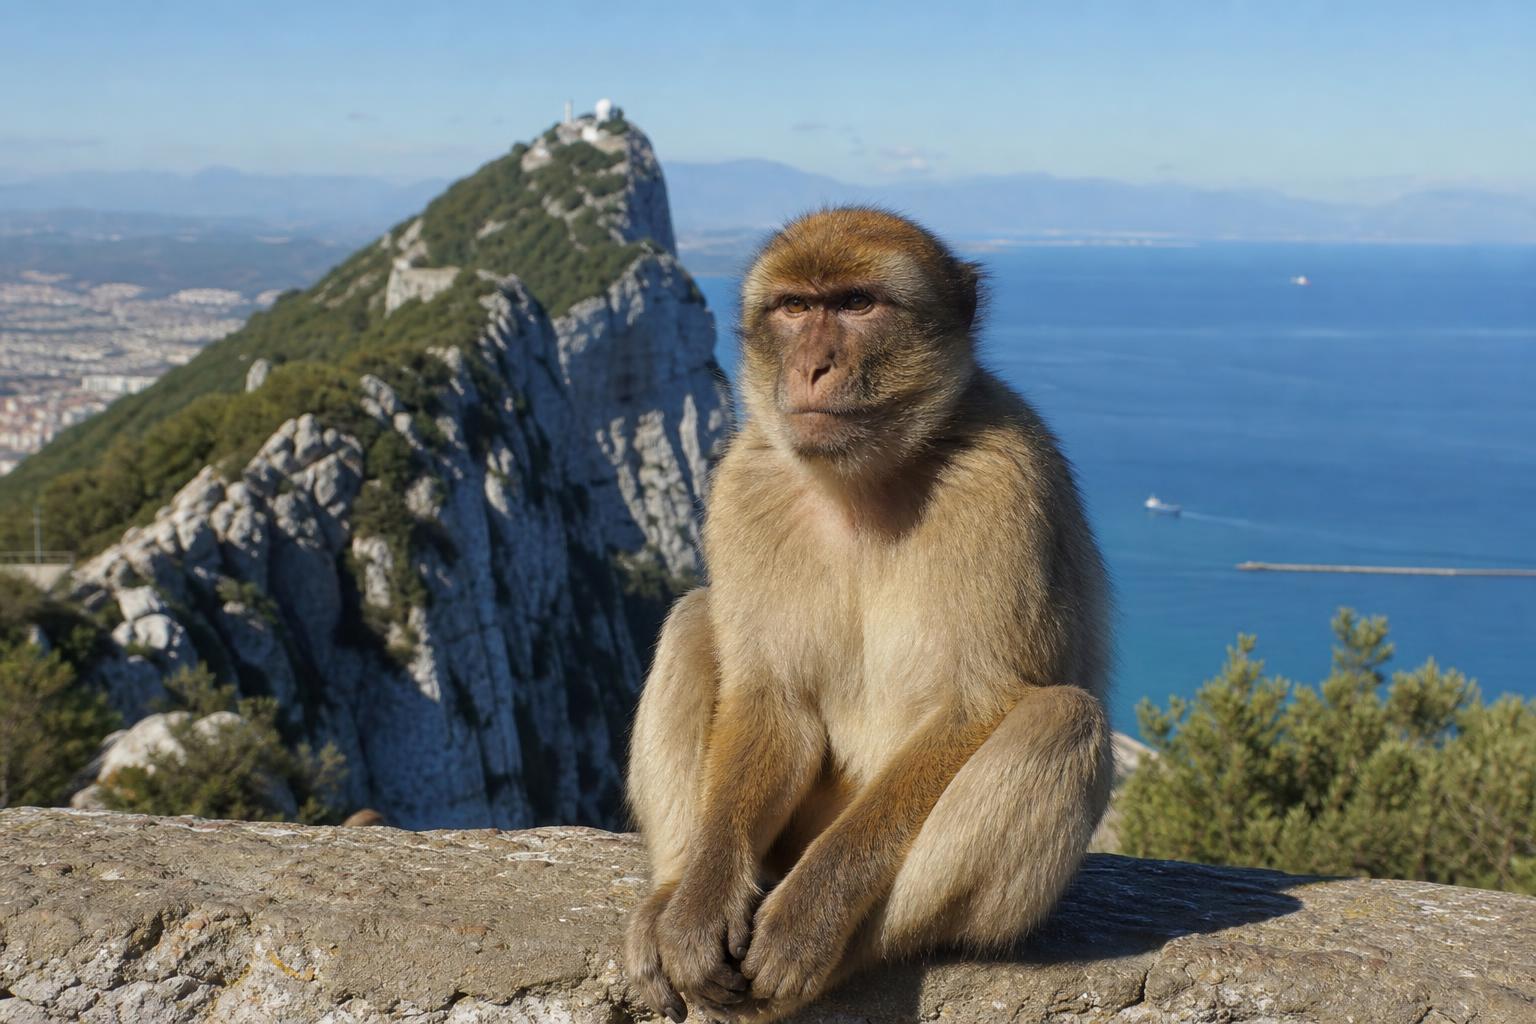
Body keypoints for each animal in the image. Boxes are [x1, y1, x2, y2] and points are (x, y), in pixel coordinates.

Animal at [624, 207, 1113, 1023]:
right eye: (795, 308)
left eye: (857, 305)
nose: (813, 366)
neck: (864, 482)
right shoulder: (745, 485)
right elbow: (771, 696)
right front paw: (696, 909)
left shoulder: (1004, 481)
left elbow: (976, 702)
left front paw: (805, 922)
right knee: (695, 619)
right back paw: (667, 898)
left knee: (1061, 718)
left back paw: (839, 952)